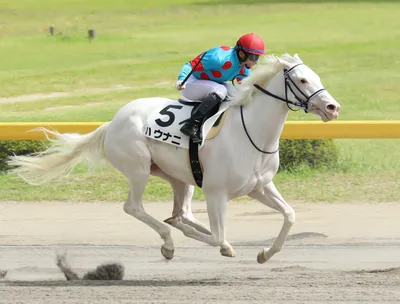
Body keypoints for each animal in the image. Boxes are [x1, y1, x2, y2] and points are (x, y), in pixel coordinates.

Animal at [8, 54, 340, 264]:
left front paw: (264, 254)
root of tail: (112, 122)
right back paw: (168, 241)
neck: (252, 133)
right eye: (302, 80)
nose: (332, 107)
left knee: (182, 211)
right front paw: (208, 242)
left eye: (317, 76)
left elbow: (290, 215)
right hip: (138, 169)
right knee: (136, 208)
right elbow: (216, 236)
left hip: (181, 177)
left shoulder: (259, 186)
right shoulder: (217, 193)